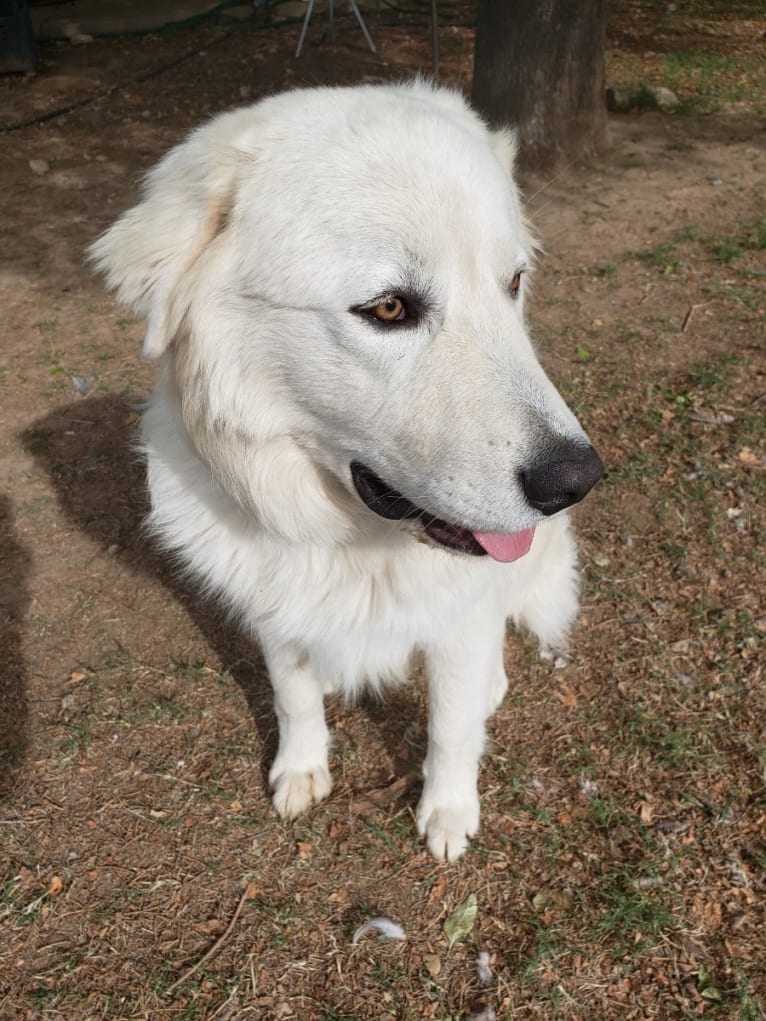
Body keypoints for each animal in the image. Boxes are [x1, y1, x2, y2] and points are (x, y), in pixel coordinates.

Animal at [91, 81, 604, 861]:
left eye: (513, 283)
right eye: (389, 307)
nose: (574, 481)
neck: (347, 540)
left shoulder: (461, 619)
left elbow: (451, 727)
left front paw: (448, 813)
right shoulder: (273, 605)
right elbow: (292, 693)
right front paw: (300, 770)